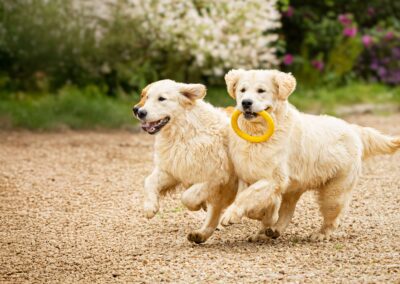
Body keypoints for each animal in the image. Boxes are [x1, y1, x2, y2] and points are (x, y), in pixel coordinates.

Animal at [131, 79, 238, 243]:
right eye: (146, 97)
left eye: (161, 98)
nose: (139, 112)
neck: (184, 132)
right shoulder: (173, 169)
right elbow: (149, 181)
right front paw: (150, 208)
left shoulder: (217, 177)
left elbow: (187, 197)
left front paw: (197, 205)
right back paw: (200, 235)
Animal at [220, 69, 398, 242]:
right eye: (242, 90)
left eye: (261, 90)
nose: (246, 103)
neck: (258, 133)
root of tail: (353, 128)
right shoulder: (246, 174)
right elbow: (250, 198)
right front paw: (263, 215)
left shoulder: (274, 178)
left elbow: (249, 196)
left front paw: (231, 215)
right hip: (296, 186)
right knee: (287, 210)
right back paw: (268, 232)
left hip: (334, 193)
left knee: (332, 218)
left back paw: (320, 234)